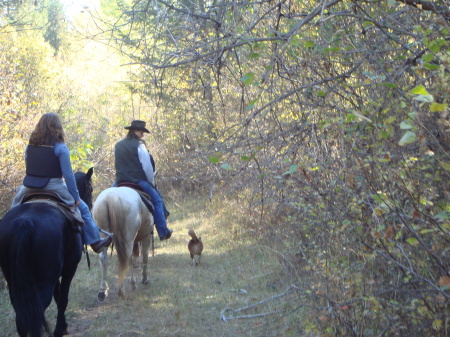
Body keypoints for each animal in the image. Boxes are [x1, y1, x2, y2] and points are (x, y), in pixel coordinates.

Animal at [0, 167, 93, 336]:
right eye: (90, 188)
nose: (89, 205)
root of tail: (24, 222)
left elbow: (57, 296)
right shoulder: (70, 268)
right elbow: (62, 299)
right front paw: (60, 329)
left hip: (14, 280)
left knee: (21, 313)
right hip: (43, 281)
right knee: (37, 309)